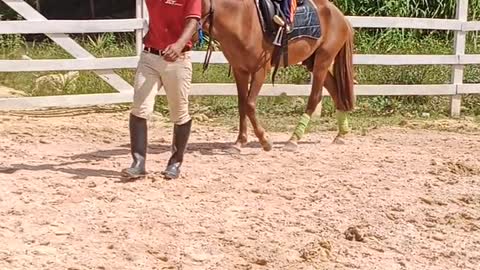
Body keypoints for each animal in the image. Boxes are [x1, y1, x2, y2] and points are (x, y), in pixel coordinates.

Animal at [201, 0, 354, 151]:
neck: (240, 18)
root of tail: (342, 17)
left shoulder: (260, 70)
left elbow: (249, 104)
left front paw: (265, 141)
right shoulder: (240, 70)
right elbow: (242, 104)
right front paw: (240, 142)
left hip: (323, 61)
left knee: (315, 98)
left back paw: (293, 140)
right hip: (313, 62)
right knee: (335, 92)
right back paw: (341, 135)